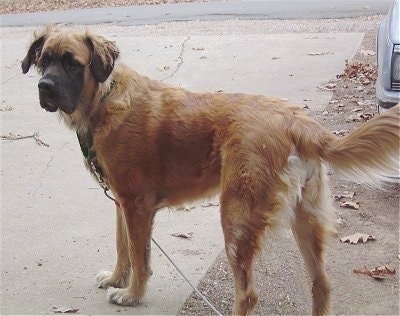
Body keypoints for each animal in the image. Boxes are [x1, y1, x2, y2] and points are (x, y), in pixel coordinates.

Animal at [22, 25, 400, 314]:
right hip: (304, 220)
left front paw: (132, 294)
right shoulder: (121, 202)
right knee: (321, 284)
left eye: (72, 63)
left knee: (248, 294)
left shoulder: (137, 206)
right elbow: (122, 246)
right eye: (43, 62)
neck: (103, 97)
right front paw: (117, 278)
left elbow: (140, 256)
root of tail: (297, 120)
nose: (45, 87)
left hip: (236, 218)